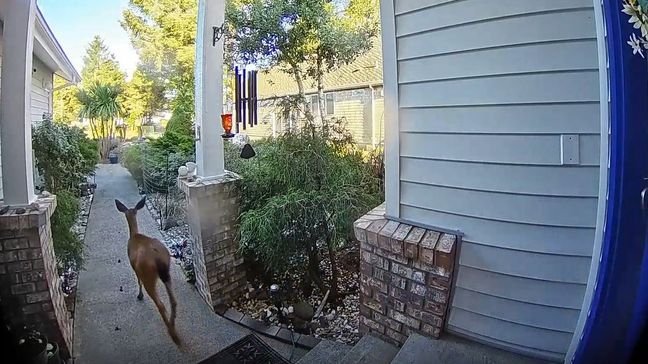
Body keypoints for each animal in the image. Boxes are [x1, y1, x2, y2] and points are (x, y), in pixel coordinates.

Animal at [115, 198, 181, 346]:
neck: (134, 235)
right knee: (173, 300)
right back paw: (173, 328)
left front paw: (139, 295)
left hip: (148, 276)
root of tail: (157, 257)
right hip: (166, 272)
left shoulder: (134, 267)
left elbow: (138, 280)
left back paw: (172, 332)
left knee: (160, 304)